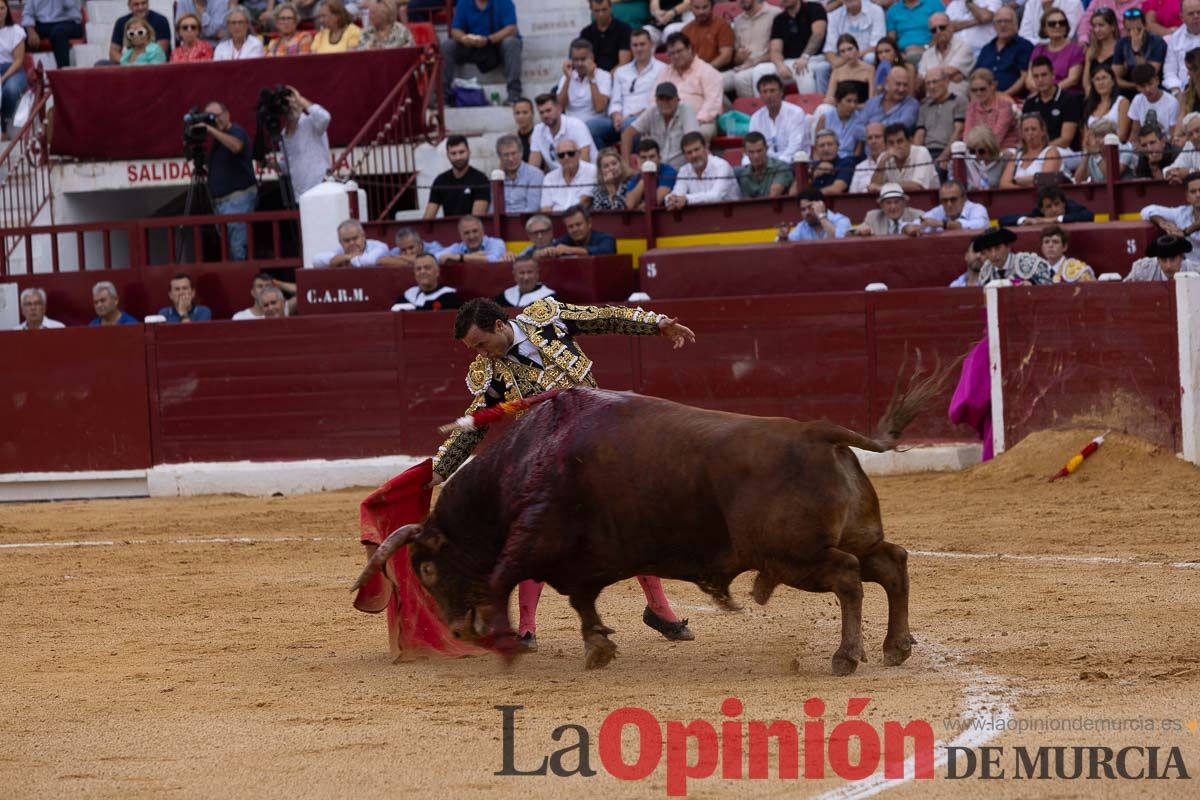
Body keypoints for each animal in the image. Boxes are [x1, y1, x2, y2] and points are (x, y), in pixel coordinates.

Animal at [350, 362, 950, 676]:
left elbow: (505, 581)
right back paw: (895, 647)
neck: (523, 461)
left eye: (427, 570)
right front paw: (598, 649)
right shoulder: (583, 564)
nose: (454, 629)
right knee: (891, 563)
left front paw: (510, 646)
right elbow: (581, 600)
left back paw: (847, 656)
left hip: (793, 556)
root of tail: (818, 432)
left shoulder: (530, 542)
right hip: (849, 537)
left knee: (850, 576)